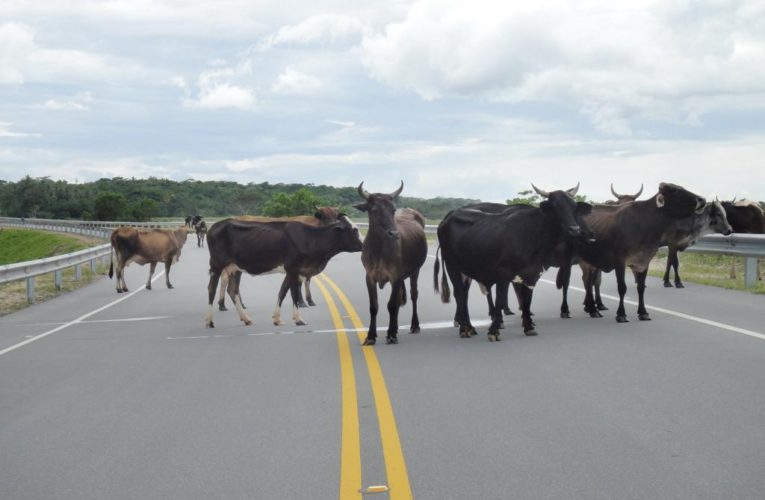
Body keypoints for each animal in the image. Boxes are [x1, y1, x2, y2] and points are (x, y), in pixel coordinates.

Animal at [204, 216, 362, 326]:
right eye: (354, 230)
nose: (363, 244)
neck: (310, 239)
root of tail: (215, 226)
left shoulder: (292, 270)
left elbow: (282, 291)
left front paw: (277, 319)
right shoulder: (293, 268)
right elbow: (293, 294)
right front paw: (298, 319)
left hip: (235, 268)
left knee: (233, 290)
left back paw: (246, 319)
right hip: (216, 264)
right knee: (211, 288)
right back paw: (209, 321)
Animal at [354, 182, 426, 346]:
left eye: (392, 210)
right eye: (374, 209)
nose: (394, 234)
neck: (379, 249)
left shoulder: (395, 277)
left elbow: (391, 305)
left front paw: (391, 335)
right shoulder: (370, 277)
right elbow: (374, 306)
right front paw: (371, 336)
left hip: (415, 271)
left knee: (413, 295)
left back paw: (414, 325)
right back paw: (396, 327)